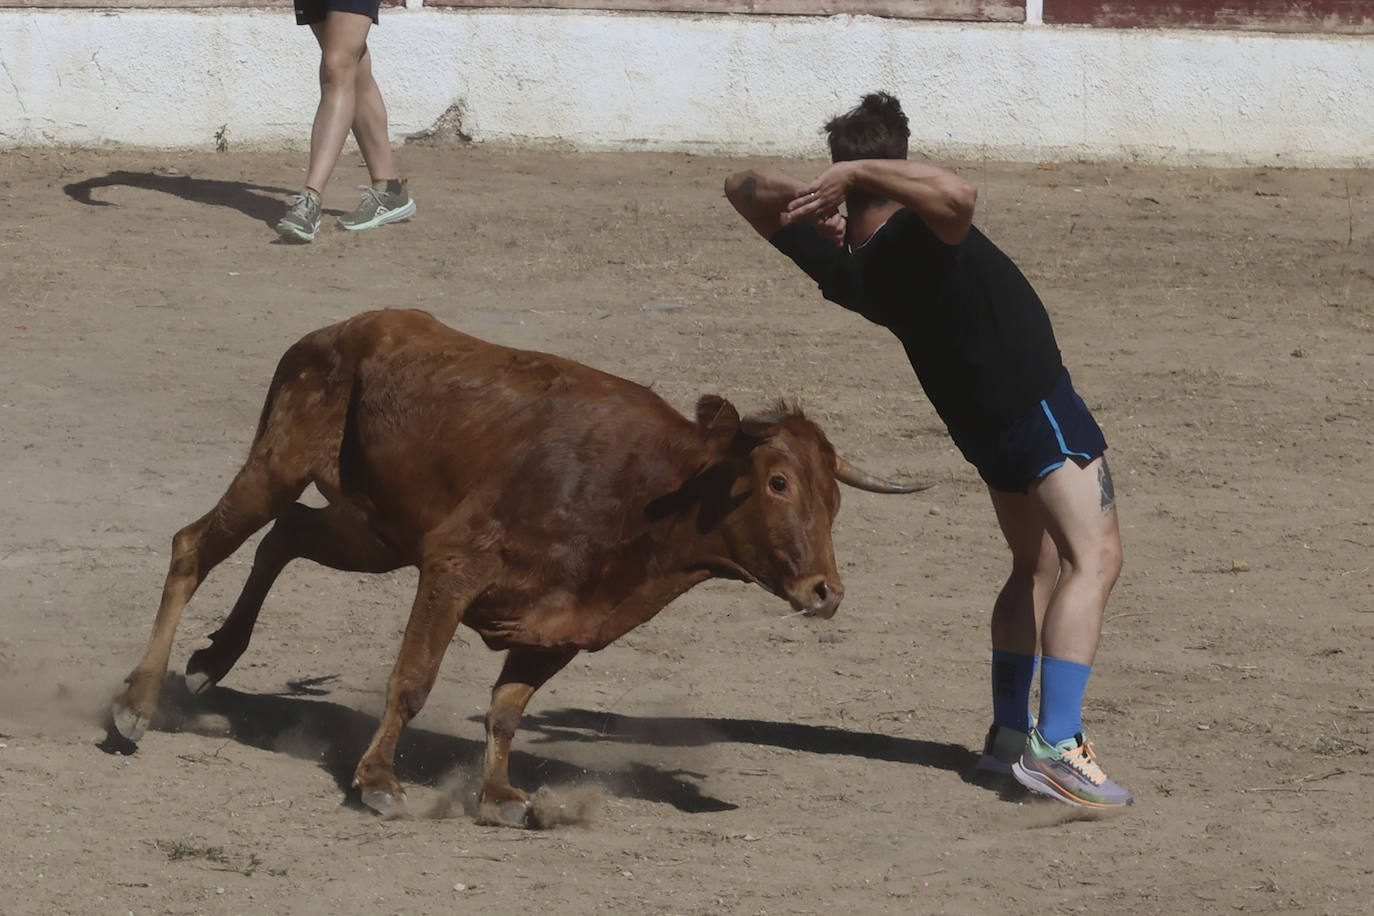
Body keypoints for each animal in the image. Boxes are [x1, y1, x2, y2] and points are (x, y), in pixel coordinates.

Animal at [112, 307, 928, 823]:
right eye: (778, 482)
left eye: (835, 497)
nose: (825, 591)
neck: (645, 491)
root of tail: (337, 331)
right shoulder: (451, 568)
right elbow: (413, 681)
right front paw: (378, 781)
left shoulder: (560, 627)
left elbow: (508, 709)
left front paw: (500, 798)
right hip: (279, 463)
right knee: (195, 548)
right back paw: (137, 705)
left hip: (374, 535)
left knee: (284, 538)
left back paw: (212, 661)